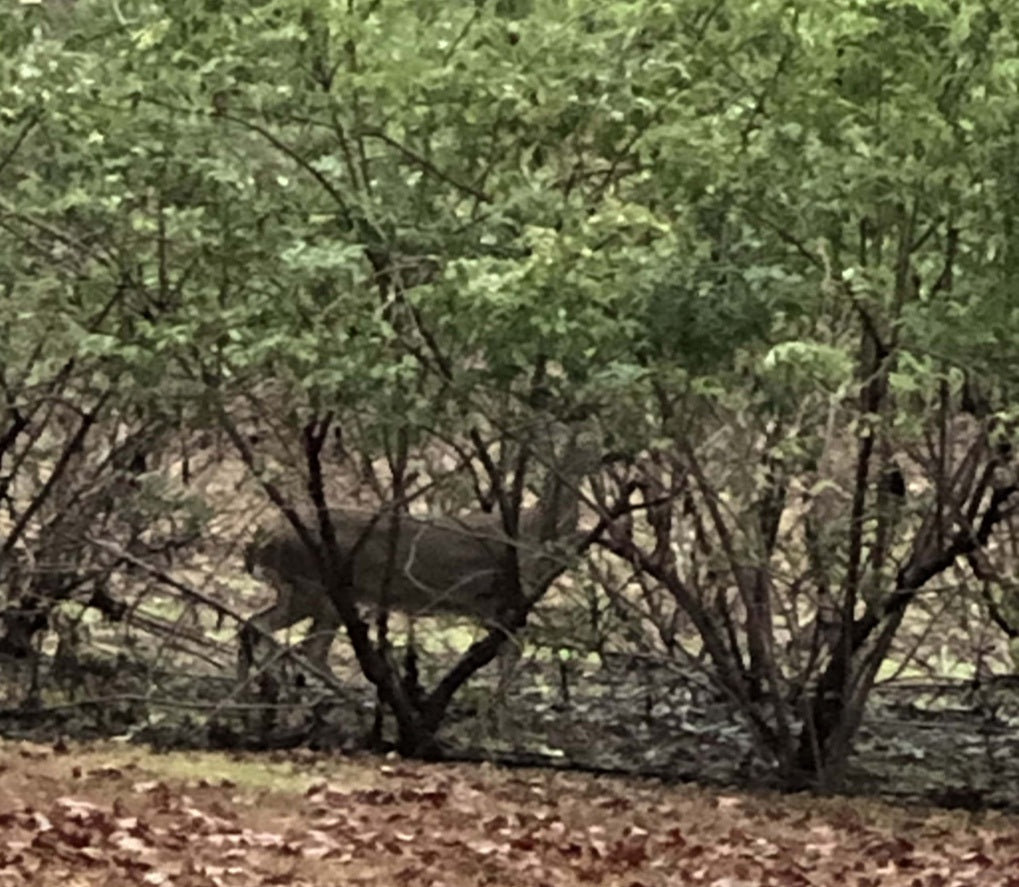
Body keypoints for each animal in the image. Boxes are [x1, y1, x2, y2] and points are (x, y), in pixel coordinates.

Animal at [237, 421, 603, 690]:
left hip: (324, 594)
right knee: (266, 628)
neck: (537, 530)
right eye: (586, 439)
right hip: (310, 583)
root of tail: (261, 537)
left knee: (298, 643)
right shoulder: (506, 594)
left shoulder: (498, 604)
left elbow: (506, 655)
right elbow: (511, 654)